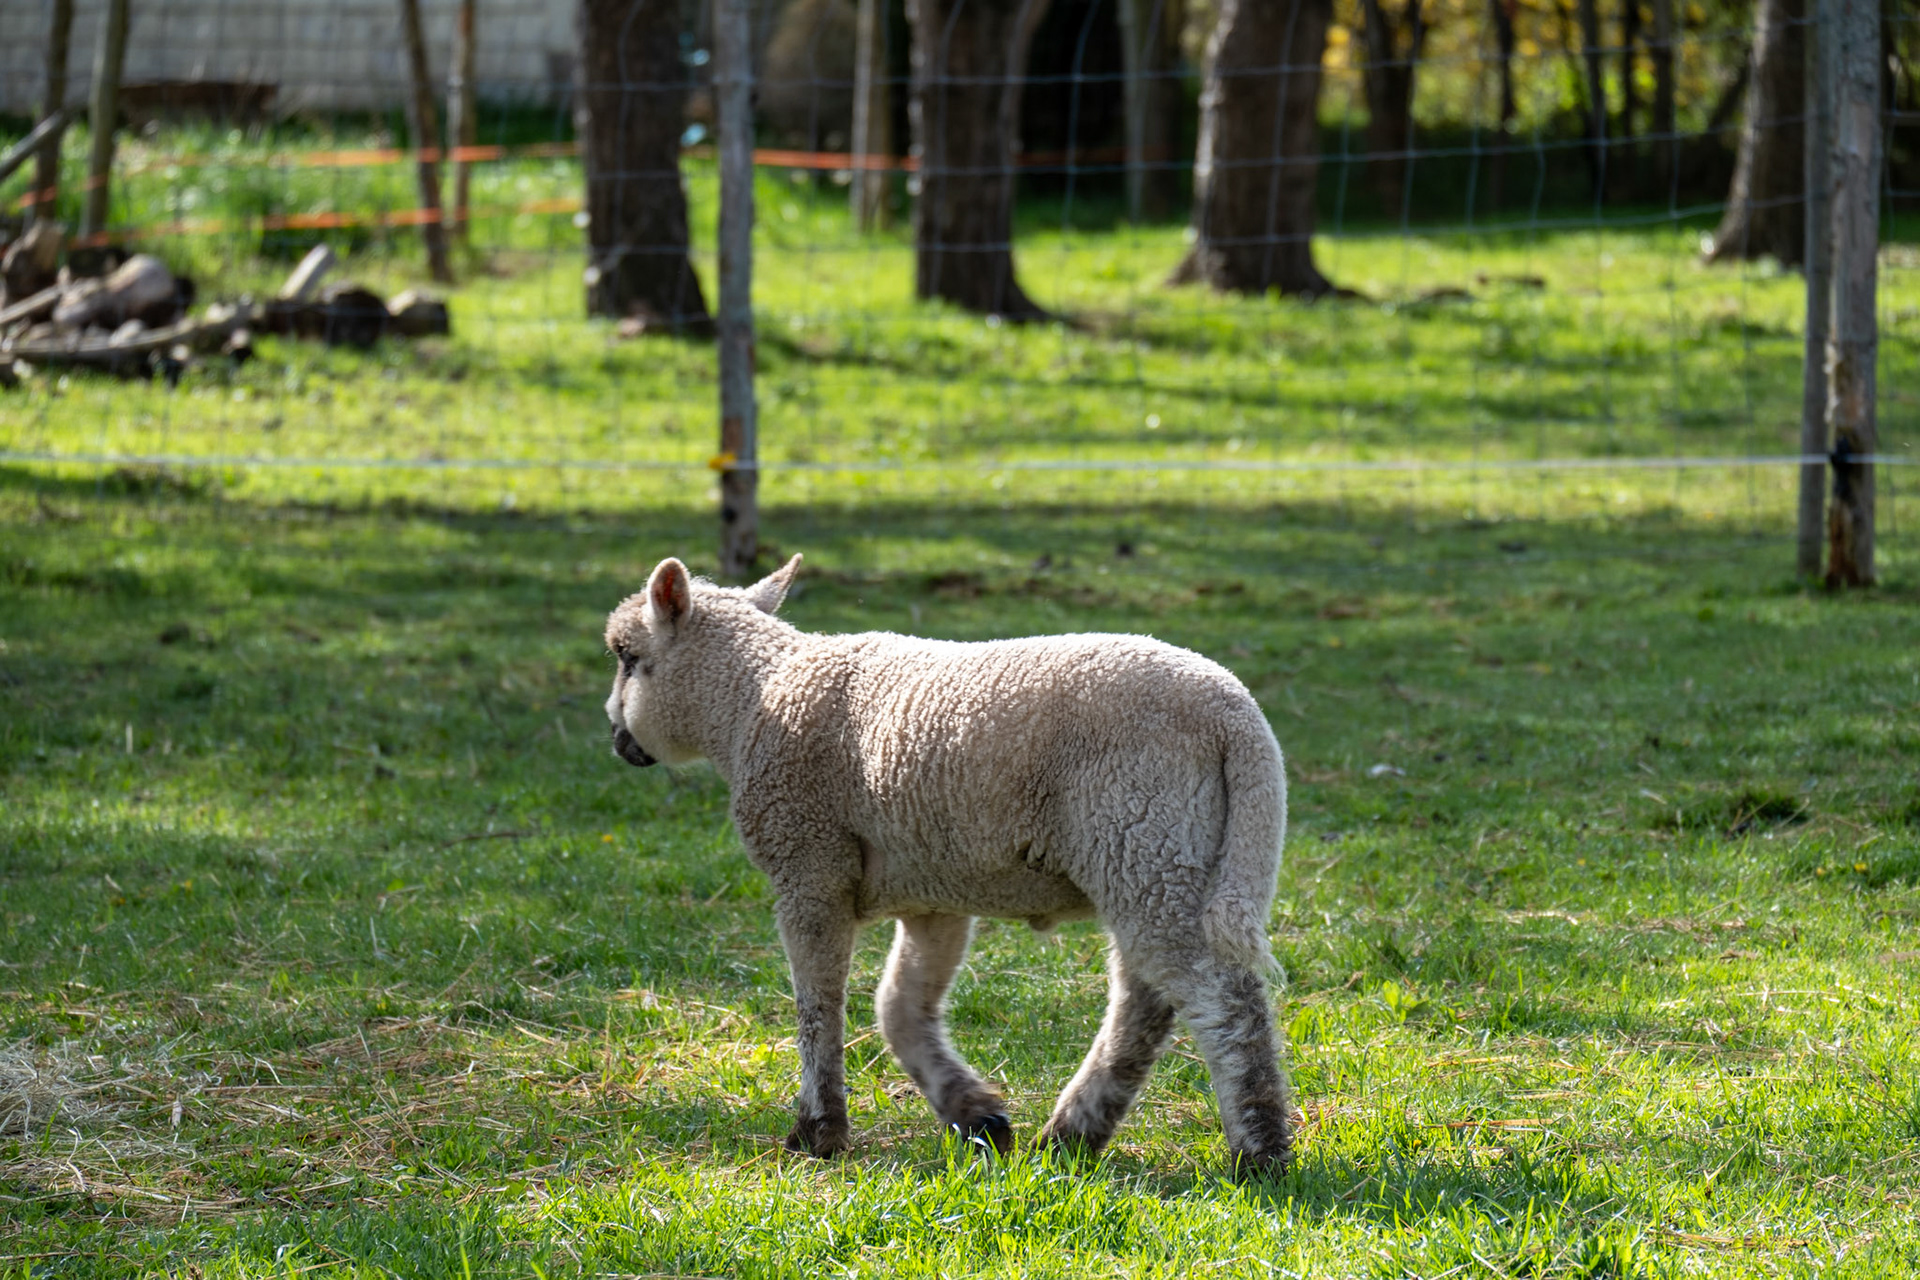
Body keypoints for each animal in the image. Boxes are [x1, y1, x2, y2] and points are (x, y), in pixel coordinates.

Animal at [603, 554, 1296, 1175]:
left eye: (626, 657)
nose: (616, 737)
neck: (752, 700)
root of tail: (1236, 717)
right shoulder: (932, 893)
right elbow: (899, 1005)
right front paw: (975, 1114)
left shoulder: (809, 864)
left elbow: (818, 1006)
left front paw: (818, 1131)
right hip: (1173, 854)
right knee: (1147, 1001)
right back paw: (1071, 1135)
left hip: (1143, 832)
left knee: (1220, 997)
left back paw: (1259, 1151)